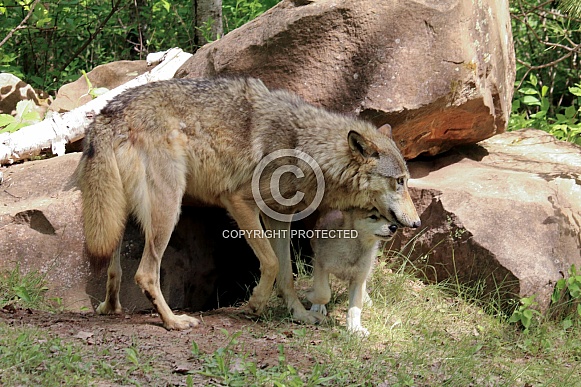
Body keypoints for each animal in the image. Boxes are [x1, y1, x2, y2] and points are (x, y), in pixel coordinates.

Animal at [75, 77, 420, 332]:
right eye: (399, 181)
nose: (416, 223)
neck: (304, 147)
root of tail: (106, 112)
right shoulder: (240, 202)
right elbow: (272, 263)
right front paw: (254, 305)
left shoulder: (280, 217)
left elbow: (287, 273)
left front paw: (299, 314)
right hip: (169, 208)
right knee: (145, 274)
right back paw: (174, 321)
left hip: (121, 214)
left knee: (114, 267)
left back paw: (110, 308)